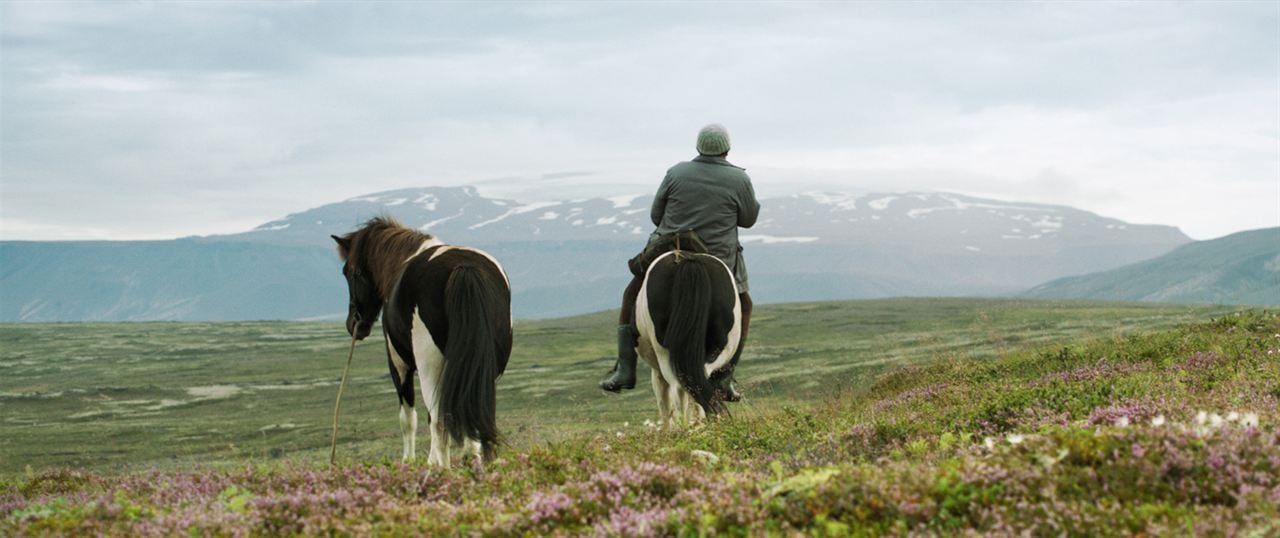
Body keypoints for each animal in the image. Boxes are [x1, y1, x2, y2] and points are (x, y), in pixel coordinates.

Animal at [332, 215, 512, 466]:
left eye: (349, 272)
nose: (354, 325)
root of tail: (464, 268)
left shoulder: (398, 364)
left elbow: (409, 418)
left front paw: (412, 462)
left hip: (430, 365)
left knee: (440, 421)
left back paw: (443, 470)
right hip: (486, 367)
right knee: (478, 413)